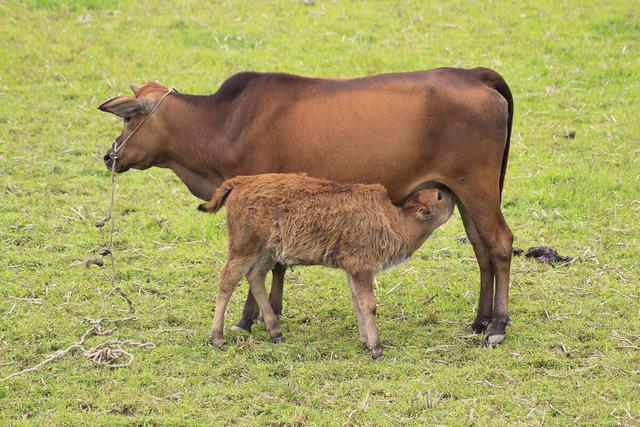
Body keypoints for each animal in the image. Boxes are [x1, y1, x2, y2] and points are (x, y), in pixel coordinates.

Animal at [198, 172, 452, 360]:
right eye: (439, 196)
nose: (449, 190)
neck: (392, 219)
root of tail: (241, 181)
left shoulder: (353, 272)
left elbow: (357, 304)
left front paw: (364, 341)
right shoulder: (362, 269)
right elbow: (369, 305)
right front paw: (377, 349)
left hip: (266, 252)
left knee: (255, 277)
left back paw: (275, 332)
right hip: (244, 248)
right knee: (227, 279)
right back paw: (218, 338)